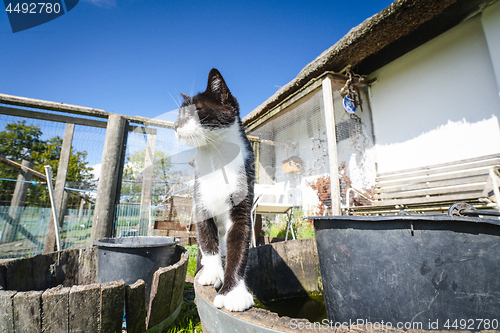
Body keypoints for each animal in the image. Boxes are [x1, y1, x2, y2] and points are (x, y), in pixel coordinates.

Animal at [175, 68, 254, 310]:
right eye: (179, 114)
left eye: (195, 111)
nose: (175, 125)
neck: (215, 156)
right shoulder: (200, 202)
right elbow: (208, 243)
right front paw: (212, 274)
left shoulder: (242, 208)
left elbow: (238, 247)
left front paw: (234, 294)